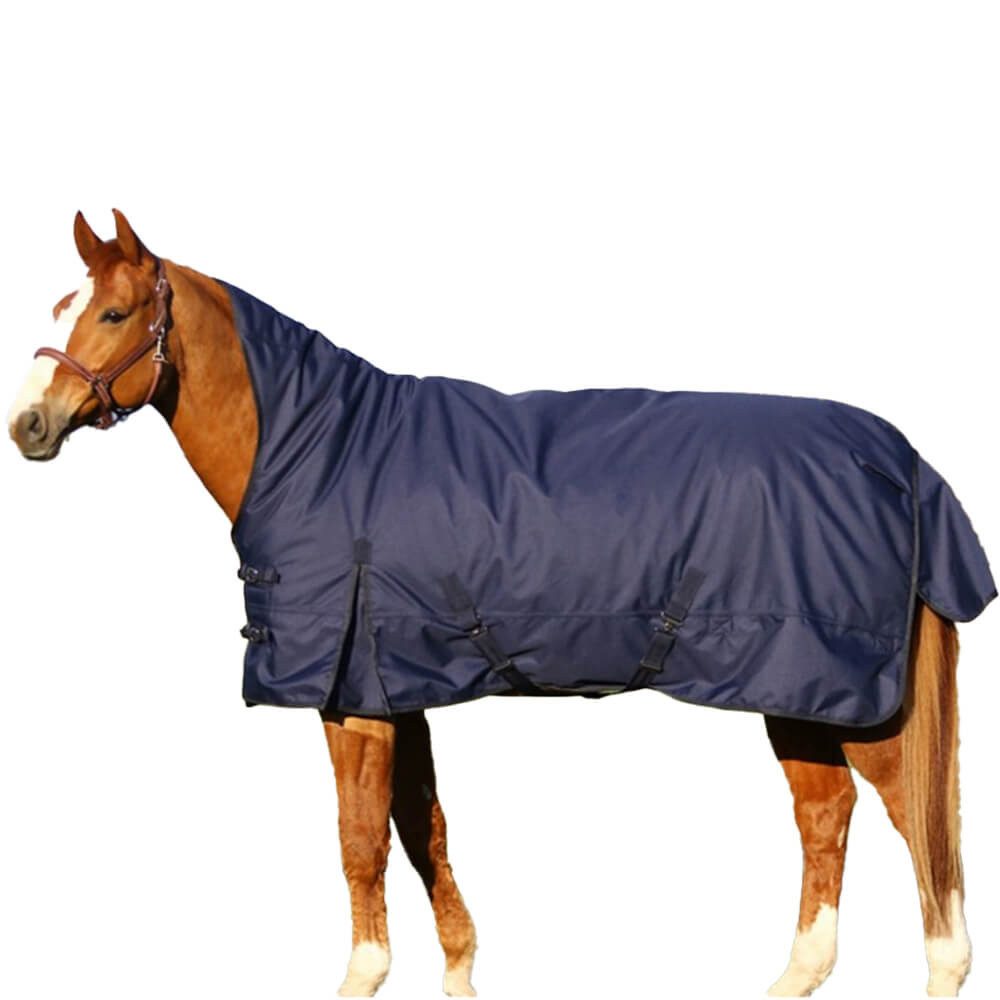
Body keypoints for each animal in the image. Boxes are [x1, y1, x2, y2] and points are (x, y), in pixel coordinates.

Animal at [8, 209, 991, 998]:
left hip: (861, 704)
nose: (28, 425)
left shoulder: (347, 701)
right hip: (799, 695)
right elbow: (424, 830)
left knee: (921, 843)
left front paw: (365, 975)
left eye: (114, 313)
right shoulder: (395, 690)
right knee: (826, 818)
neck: (326, 453)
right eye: (59, 310)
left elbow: (361, 840)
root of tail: (900, 462)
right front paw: (459, 970)